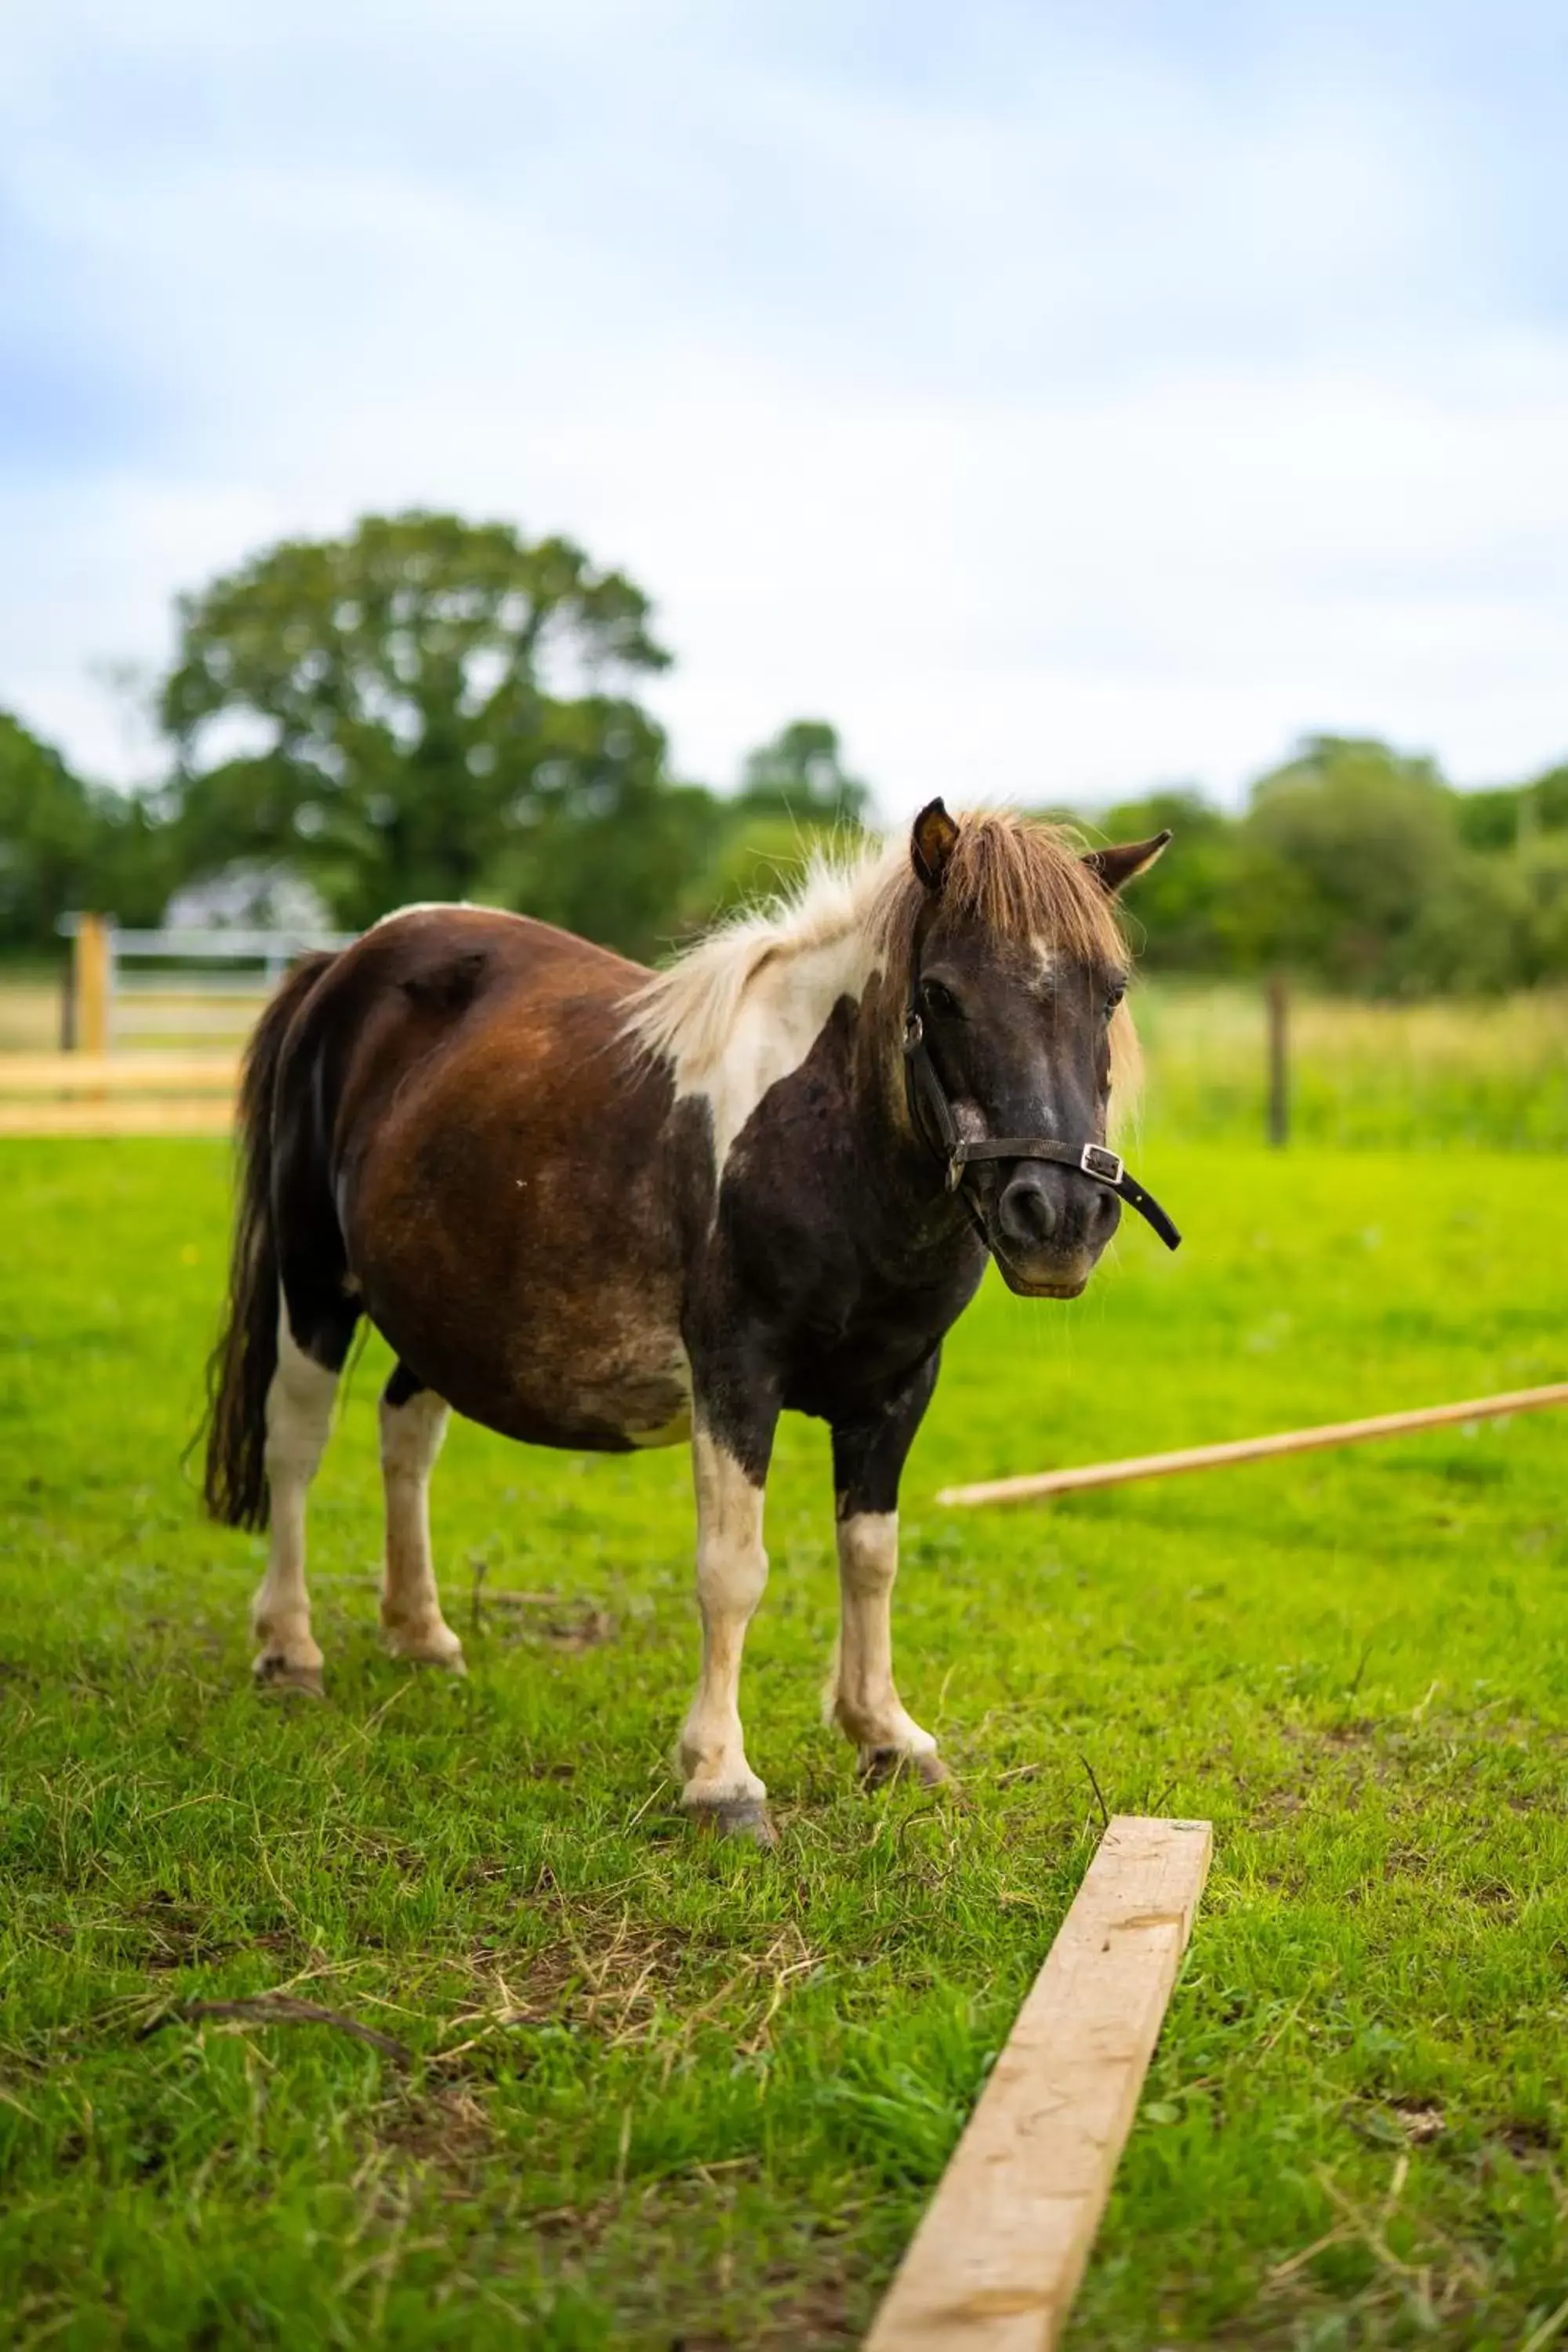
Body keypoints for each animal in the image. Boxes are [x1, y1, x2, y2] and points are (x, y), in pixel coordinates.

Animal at [205, 800, 1166, 1844]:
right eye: (941, 993)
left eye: (1109, 992)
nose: (1058, 1216)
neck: (827, 1139)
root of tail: (343, 961)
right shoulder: (734, 1377)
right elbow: (732, 1570)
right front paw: (721, 1780)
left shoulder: (898, 1387)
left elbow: (871, 1556)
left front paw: (885, 1736)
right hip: (314, 1284)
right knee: (296, 1443)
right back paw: (288, 1651)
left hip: (438, 1303)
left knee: (406, 1434)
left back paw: (421, 1636)